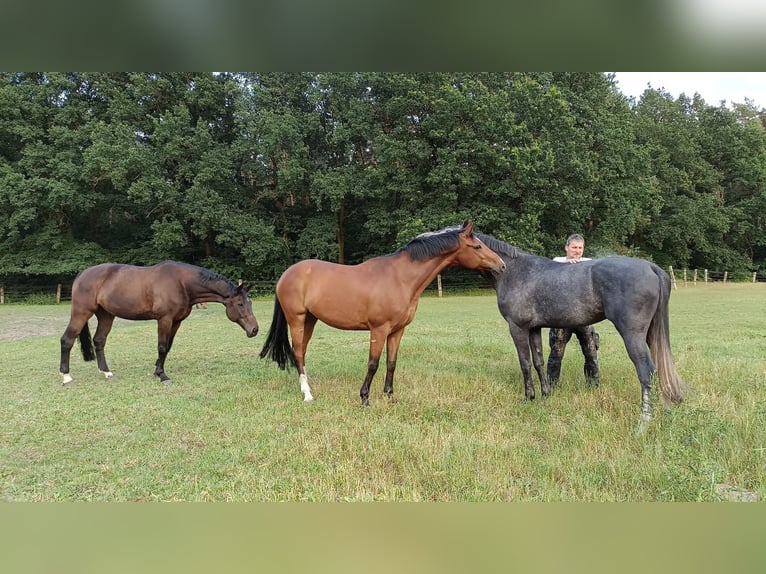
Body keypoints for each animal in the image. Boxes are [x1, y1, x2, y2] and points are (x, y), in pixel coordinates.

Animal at [57, 260, 260, 388]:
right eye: (240, 304)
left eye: (250, 303)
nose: (255, 329)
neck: (181, 283)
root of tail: (82, 275)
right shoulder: (165, 319)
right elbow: (162, 346)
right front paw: (163, 376)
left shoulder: (177, 321)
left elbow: (168, 347)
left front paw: (157, 370)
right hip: (81, 312)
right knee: (67, 340)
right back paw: (66, 377)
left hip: (106, 315)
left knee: (99, 341)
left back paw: (107, 373)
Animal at [260, 223, 508, 408]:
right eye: (477, 246)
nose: (503, 266)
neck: (400, 278)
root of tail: (287, 273)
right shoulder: (379, 329)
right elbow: (373, 363)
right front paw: (364, 398)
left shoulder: (397, 330)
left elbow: (391, 362)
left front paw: (390, 396)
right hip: (297, 319)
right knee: (298, 352)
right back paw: (307, 394)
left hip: (310, 319)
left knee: (301, 352)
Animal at [476, 232, 688, 426]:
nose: (499, 265)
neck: (515, 271)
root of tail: (651, 267)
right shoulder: (533, 328)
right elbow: (538, 361)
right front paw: (545, 395)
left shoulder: (517, 327)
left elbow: (525, 363)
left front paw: (529, 397)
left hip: (632, 335)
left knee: (646, 371)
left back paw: (644, 422)